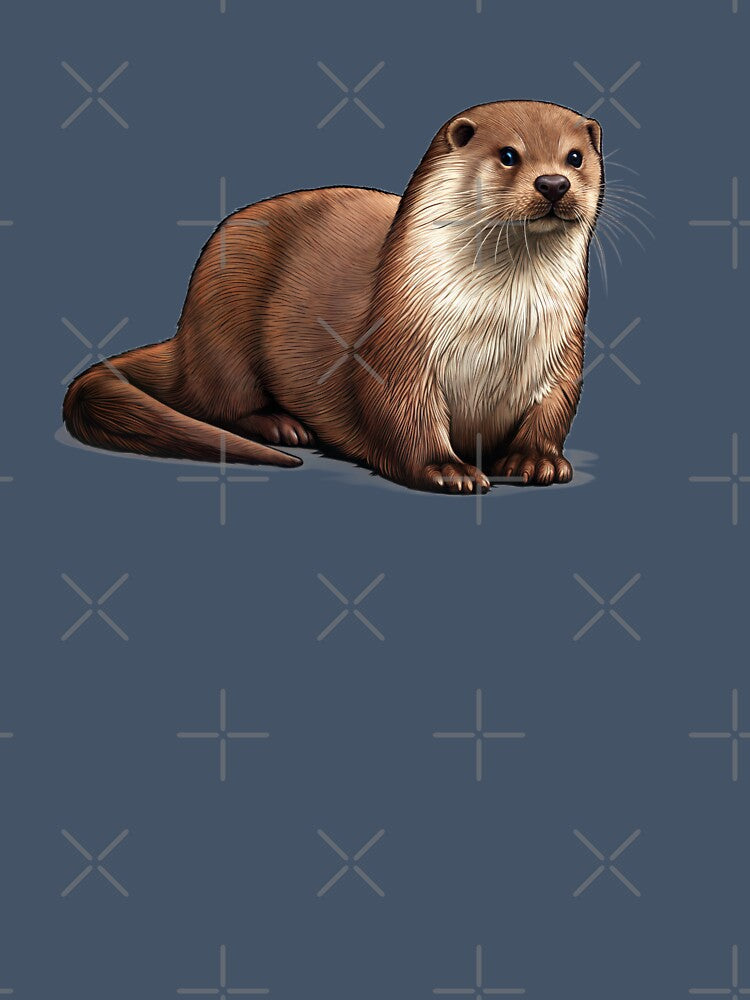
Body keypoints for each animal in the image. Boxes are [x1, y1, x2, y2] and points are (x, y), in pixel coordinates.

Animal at [63, 100, 603, 493]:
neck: (500, 327)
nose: (553, 182)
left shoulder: (562, 351)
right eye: (509, 155)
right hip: (222, 317)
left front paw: (536, 459)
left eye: (575, 157)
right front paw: (447, 469)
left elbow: (554, 407)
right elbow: (401, 414)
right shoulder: (397, 345)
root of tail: (184, 341)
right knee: (222, 401)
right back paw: (282, 426)